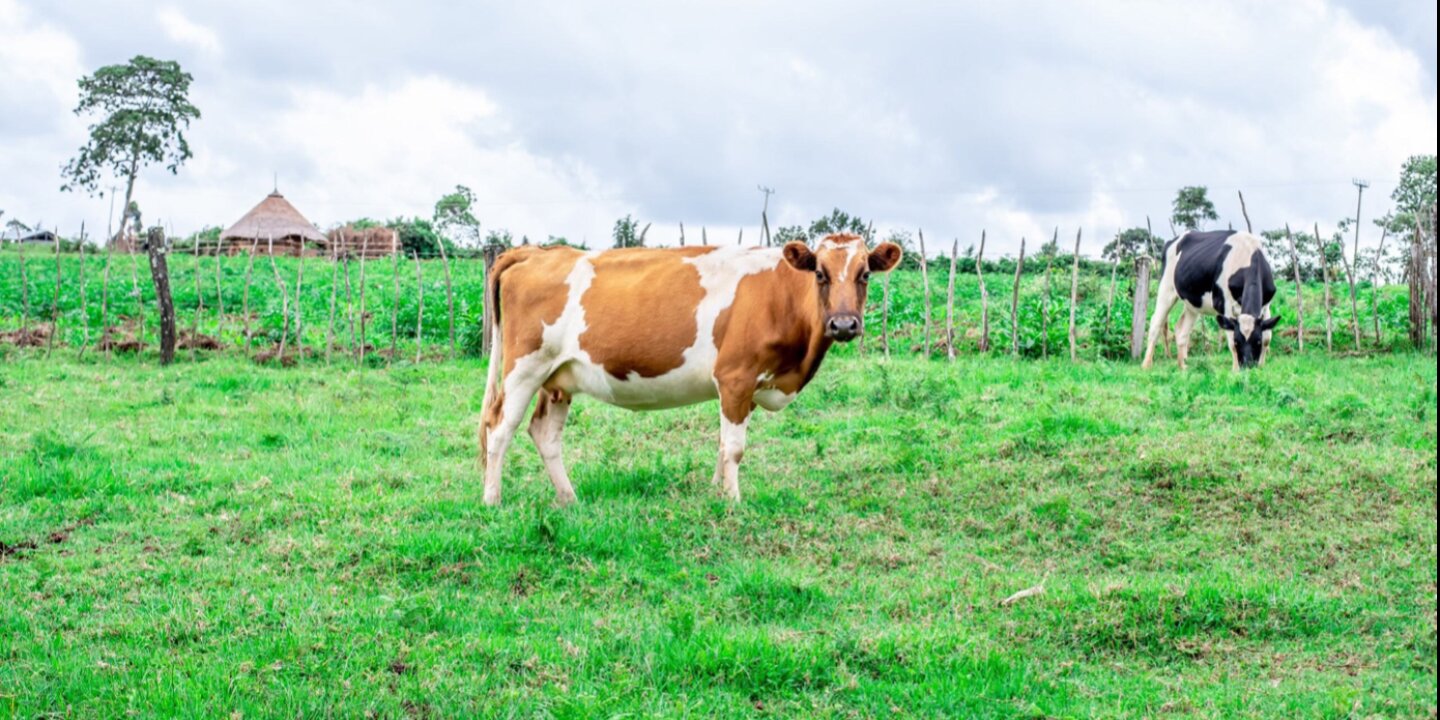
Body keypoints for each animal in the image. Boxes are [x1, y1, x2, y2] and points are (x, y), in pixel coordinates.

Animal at [478, 233, 903, 505]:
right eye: (820, 273)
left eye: (865, 274)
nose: (844, 325)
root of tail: (537, 252)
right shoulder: (735, 377)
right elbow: (734, 448)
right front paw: (733, 503)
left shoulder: (745, 389)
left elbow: (722, 445)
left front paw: (716, 493)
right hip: (525, 367)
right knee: (500, 428)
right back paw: (492, 500)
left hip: (558, 378)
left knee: (544, 433)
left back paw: (569, 499)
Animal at [1142, 229, 1279, 370]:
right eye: (1237, 341)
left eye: (1257, 341)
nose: (1247, 365)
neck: (1250, 257)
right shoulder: (1225, 305)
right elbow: (1230, 340)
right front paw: (1235, 370)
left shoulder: (1266, 305)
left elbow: (1267, 338)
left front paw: (1261, 367)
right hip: (1166, 288)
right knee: (1155, 323)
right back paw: (1146, 364)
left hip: (1193, 303)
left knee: (1181, 329)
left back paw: (1183, 366)